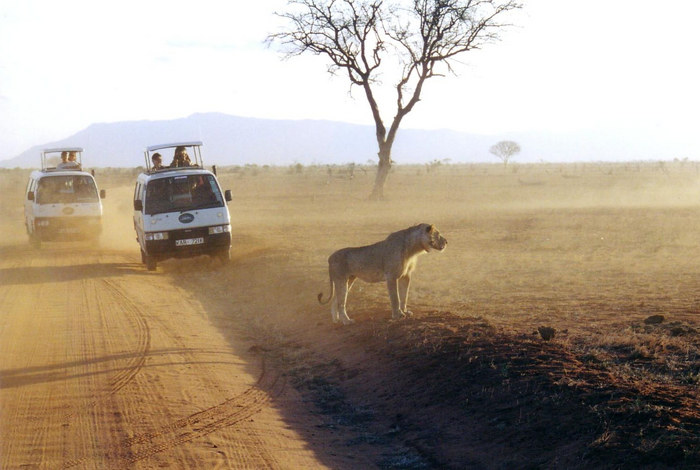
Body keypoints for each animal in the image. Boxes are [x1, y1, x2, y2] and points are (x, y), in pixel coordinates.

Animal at [318, 223, 448, 324]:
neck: (414, 249)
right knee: (341, 303)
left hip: (349, 280)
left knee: (335, 301)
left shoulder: (405, 276)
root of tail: (330, 257)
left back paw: (336, 320)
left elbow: (404, 296)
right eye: (438, 234)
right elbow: (395, 298)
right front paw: (398, 315)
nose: (446, 242)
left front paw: (405, 311)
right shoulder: (391, 276)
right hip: (341, 280)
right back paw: (347, 321)